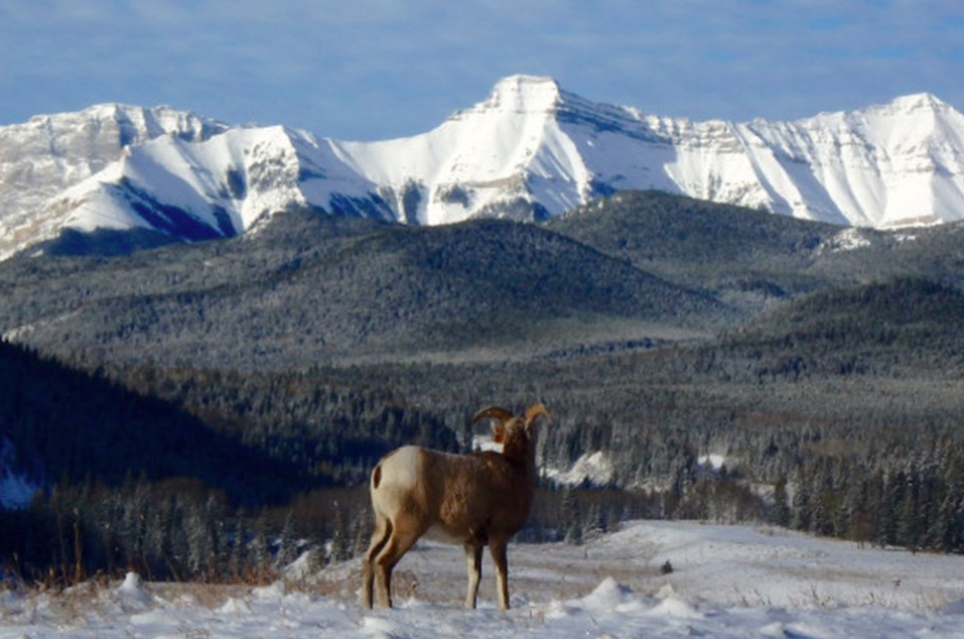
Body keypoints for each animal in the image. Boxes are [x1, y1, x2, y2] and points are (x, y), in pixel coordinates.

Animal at [360, 403, 550, 611]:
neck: (517, 469)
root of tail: (382, 467)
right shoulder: (498, 538)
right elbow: (502, 575)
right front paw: (505, 608)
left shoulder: (472, 544)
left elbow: (475, 577)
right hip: (407, 529)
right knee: (383, 563)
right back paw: (387, 607)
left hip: (383, 525)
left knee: (369, 560)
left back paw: (367, 606)